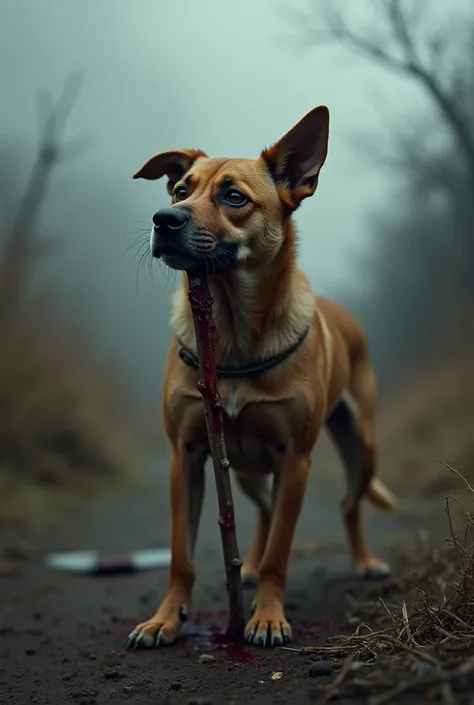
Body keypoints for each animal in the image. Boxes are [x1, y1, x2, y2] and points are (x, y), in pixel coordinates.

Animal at [127, 104, 396, 648]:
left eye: (234, 197)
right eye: (180, 190)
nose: (164, 219)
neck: (232, 334)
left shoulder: (296, 460)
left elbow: (281, 554)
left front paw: (268, 617)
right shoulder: (186, 457)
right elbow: (181, 557)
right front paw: (165, 618)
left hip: (362, 448)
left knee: (347, 505)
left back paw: (363, 561)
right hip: (246, 468)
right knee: (265, 510)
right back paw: (245, 566)